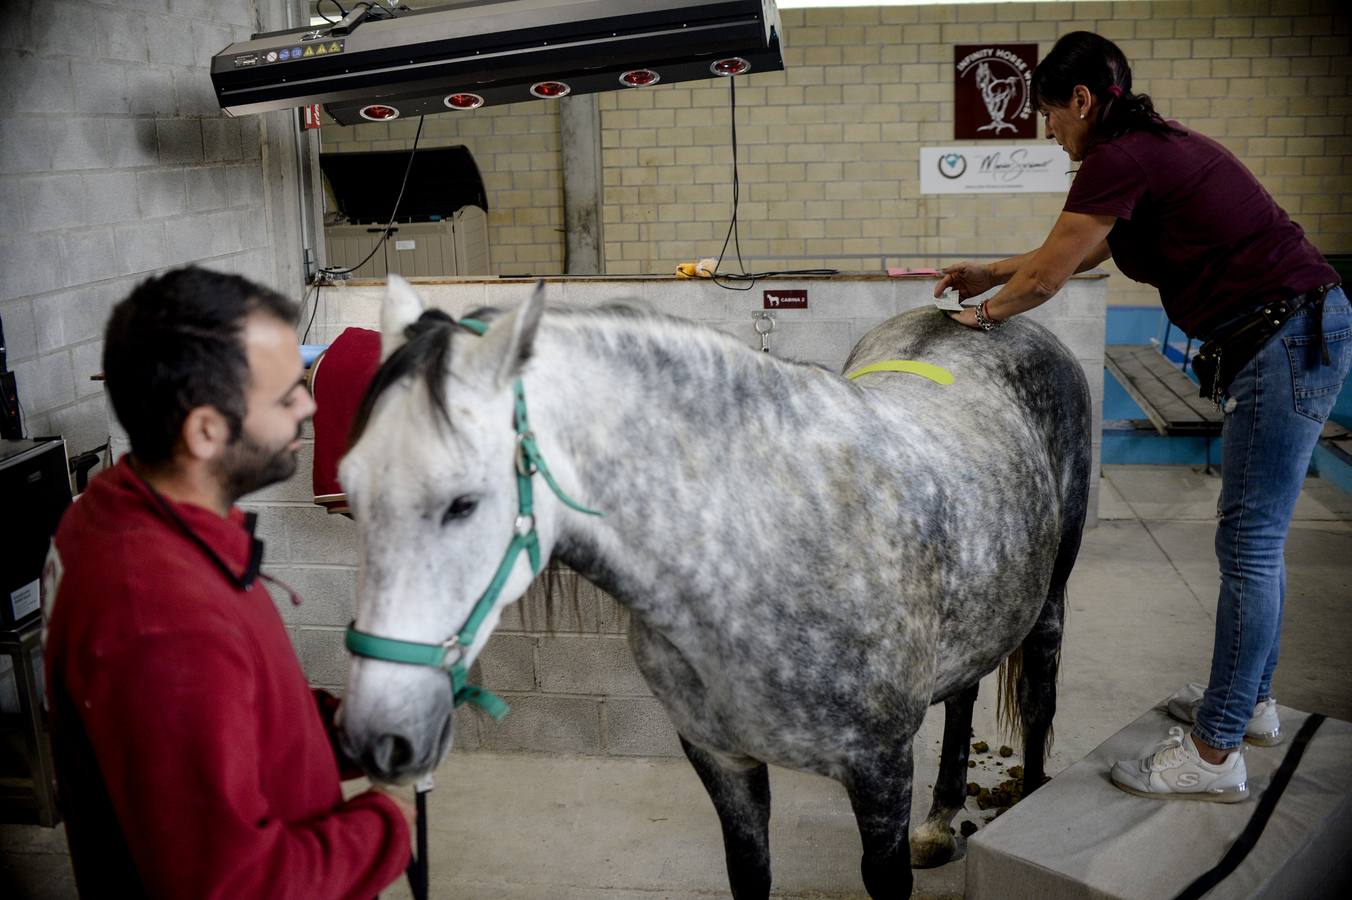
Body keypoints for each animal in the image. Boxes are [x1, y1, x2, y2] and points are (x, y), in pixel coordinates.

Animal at [340, 277, 1097, 891]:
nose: (374, 738)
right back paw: (939, 824)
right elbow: (749, 874)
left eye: (462, 503)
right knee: (964, 690)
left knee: (1038, 700)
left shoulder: (879, 770)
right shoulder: (721, 760)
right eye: (350, 485)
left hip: (1048, 601)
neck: (759, 548)